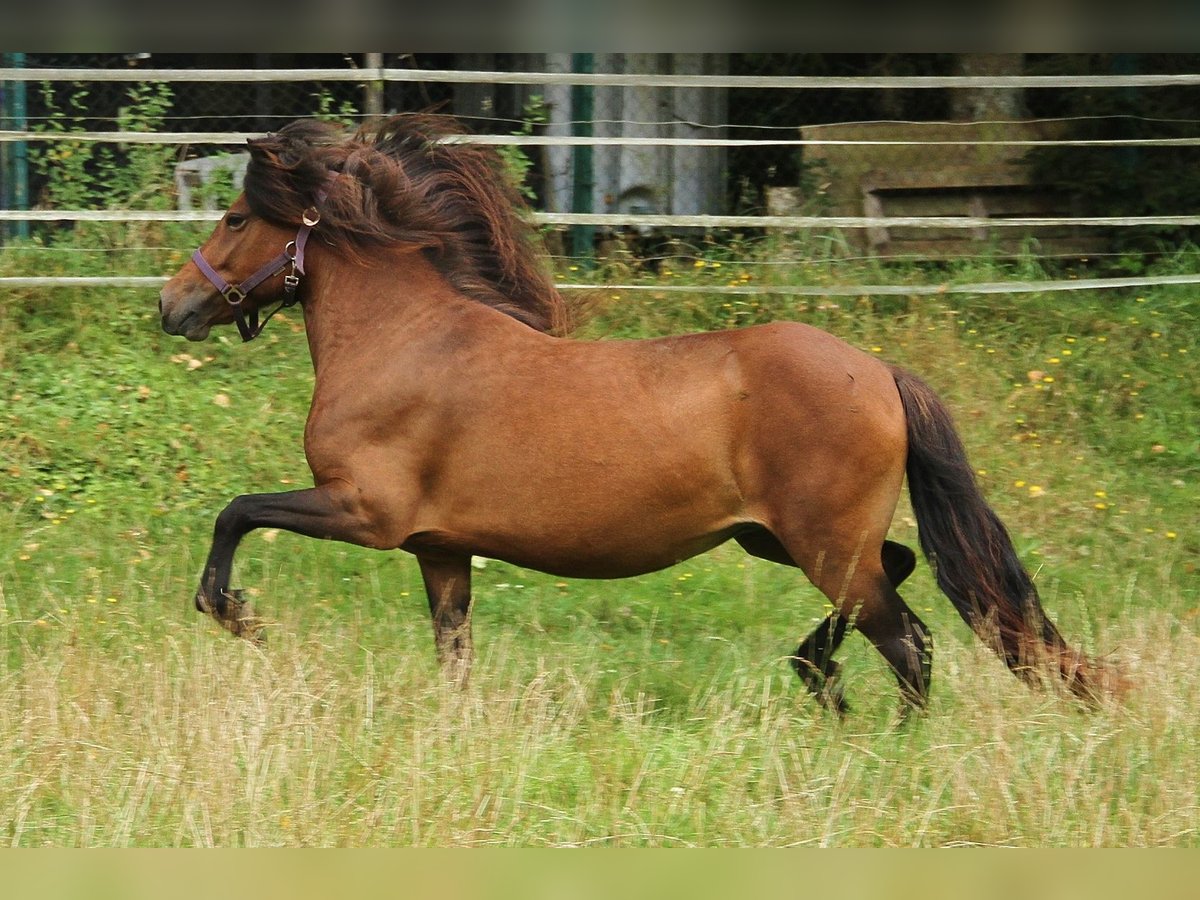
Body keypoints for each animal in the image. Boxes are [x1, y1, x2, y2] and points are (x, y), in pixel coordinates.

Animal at [159, 116, 1113, 715]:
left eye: (236, 217)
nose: (173, 305)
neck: (405, 340)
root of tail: (878, 372)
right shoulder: (440, 550)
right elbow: (453, 652)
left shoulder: (365, 511)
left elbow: (235, 512)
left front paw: (235, 612)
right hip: (782, 538)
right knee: (902, 580)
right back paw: (819, 677)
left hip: (821, 545)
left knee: (909, 640)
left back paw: (874, 729)